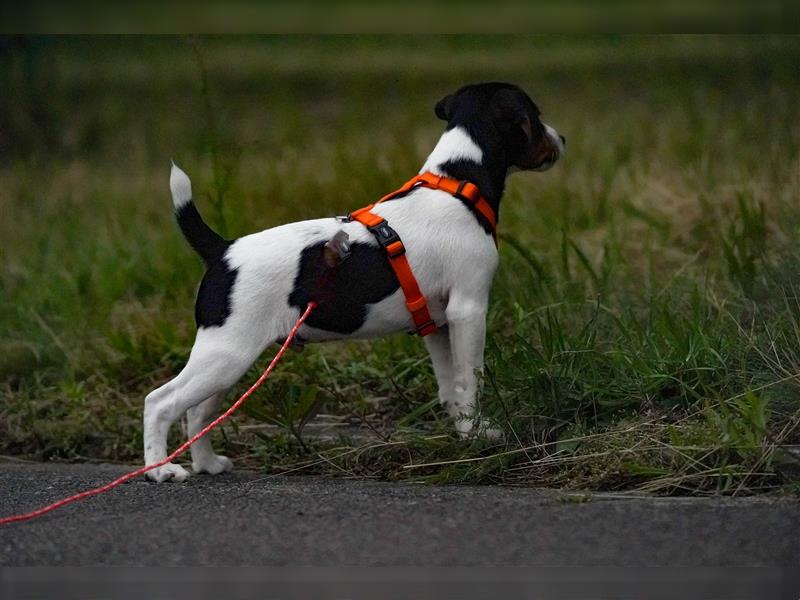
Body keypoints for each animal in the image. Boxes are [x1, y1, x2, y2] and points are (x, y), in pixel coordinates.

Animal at [142, 81, 564, 482]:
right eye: (536, 117)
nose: (562, 139)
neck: (459, 182)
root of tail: (222, 250)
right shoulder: (469, 311)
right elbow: (470, 380)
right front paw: (477, 434)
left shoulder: (438, 324)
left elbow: (451, 387)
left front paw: (463, 433)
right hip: (226, 354)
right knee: (160, 403)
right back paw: (160, 470)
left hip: (227, 358)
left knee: (197, 413)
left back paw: (207, 464)